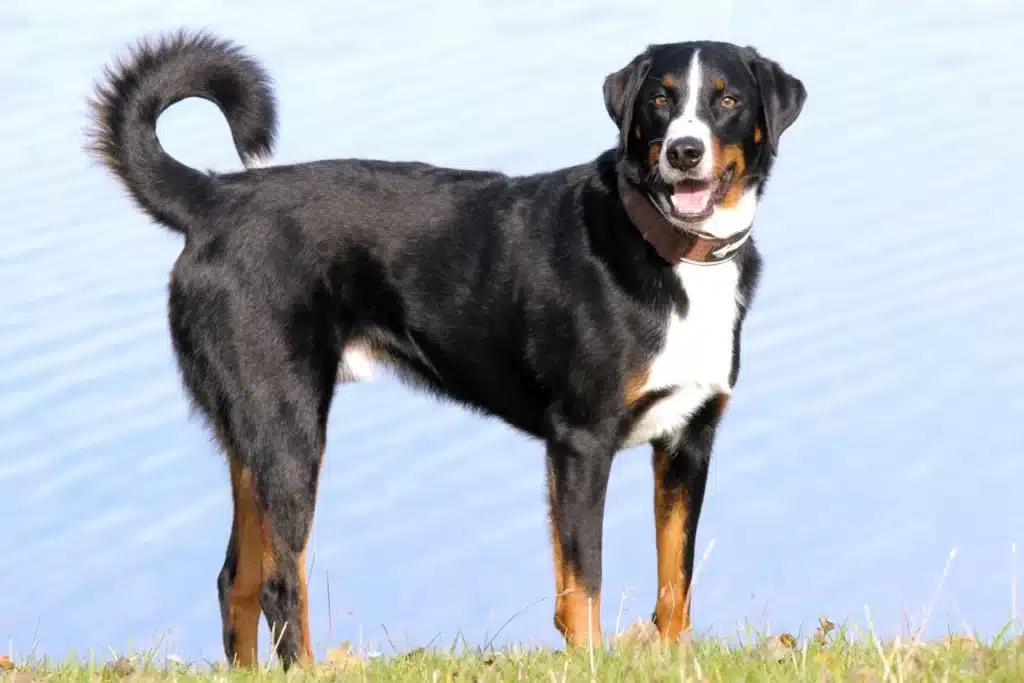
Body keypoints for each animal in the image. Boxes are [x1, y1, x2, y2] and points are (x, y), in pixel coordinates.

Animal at [88, 30, 802, 667]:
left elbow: (675, 581)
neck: (666, 249)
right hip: (289, 427)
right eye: (659, 98)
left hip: (252, 435)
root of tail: (213, 197)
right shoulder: (580, 442)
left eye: (727, 99)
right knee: (279, 583)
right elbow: (583, 587)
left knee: (234, 580)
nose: (684, 151)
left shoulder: (689, 440)